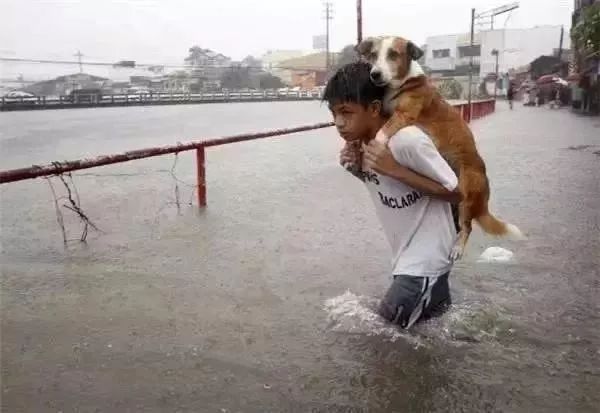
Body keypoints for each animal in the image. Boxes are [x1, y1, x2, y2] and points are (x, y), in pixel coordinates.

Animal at [356, 36, 520, 260]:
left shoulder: (404, 115)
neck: (403, 83)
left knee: (468, 227)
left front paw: (375, 147)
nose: (375, 74)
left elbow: (382, 132)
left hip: (466, 194)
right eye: (373, 55)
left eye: (393, 55)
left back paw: (458, 248)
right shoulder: (387, 111)